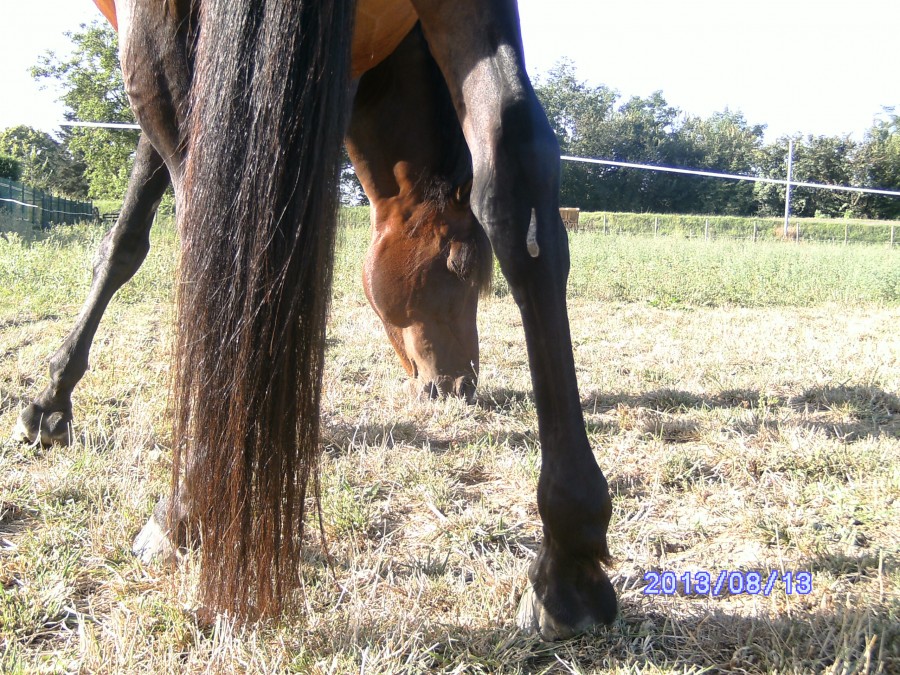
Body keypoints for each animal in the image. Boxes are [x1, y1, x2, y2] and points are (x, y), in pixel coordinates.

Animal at [15, 0, 620, 640]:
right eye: (455, 265)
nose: (460, 385)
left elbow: (127, 240)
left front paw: (50, 404)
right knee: (513, 158)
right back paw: (569, 567)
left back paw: (183, 510)